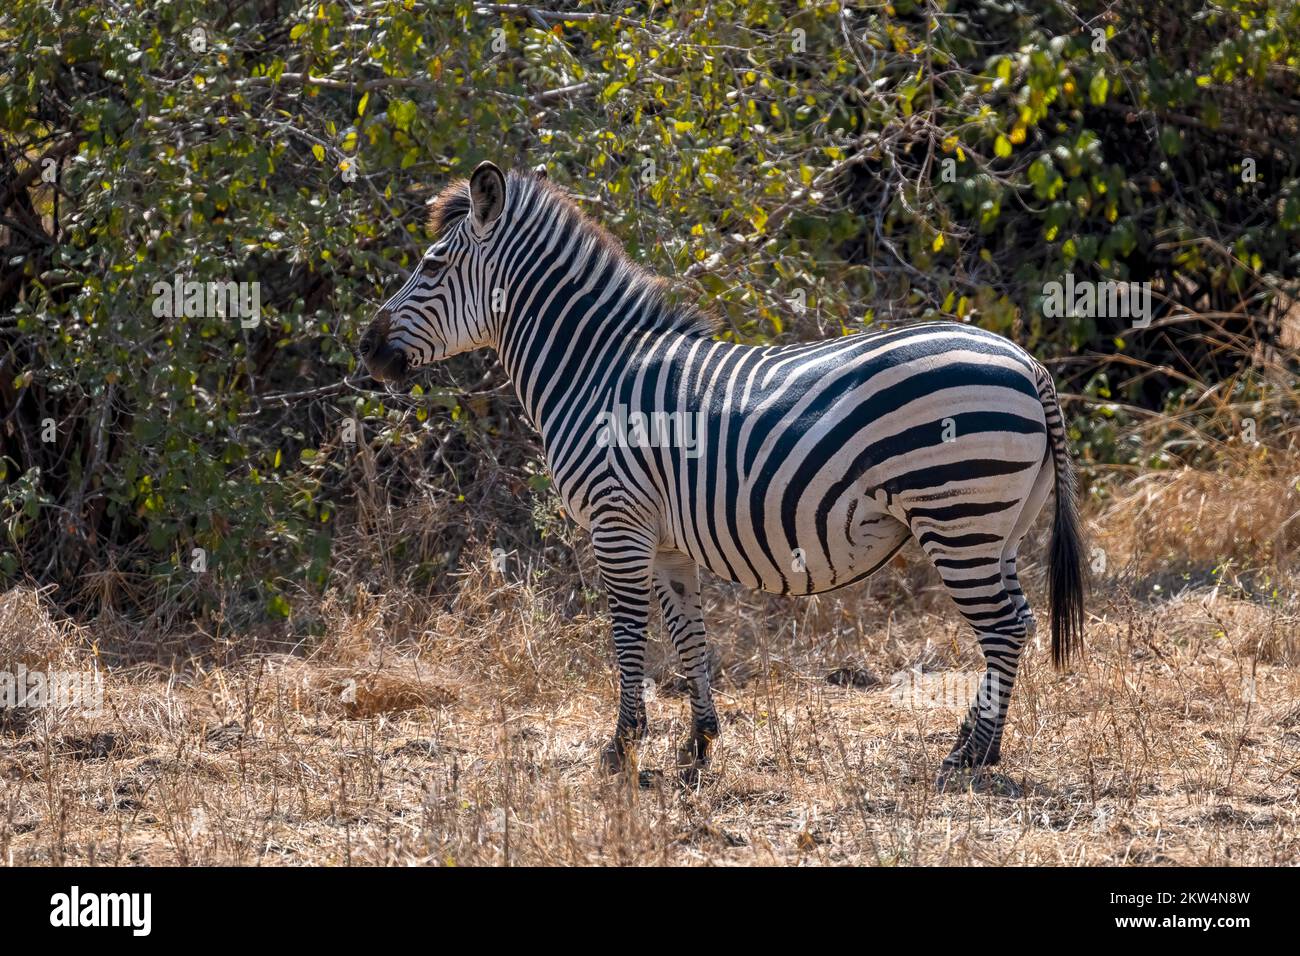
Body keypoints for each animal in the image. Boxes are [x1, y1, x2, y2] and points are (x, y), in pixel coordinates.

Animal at [360, 161, 1085, 785]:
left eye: (432, 264)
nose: (366, 349)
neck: (594, 371)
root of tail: (1026, 360)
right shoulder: (667, 541)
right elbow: (690, 639)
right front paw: (699, 742)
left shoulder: (617, 523)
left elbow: (628, 637)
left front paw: (621, 748)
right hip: (999, 526)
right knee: (1019, 620)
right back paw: (978, 745)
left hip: (957, 513)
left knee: (1002, 626)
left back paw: (969, 756)